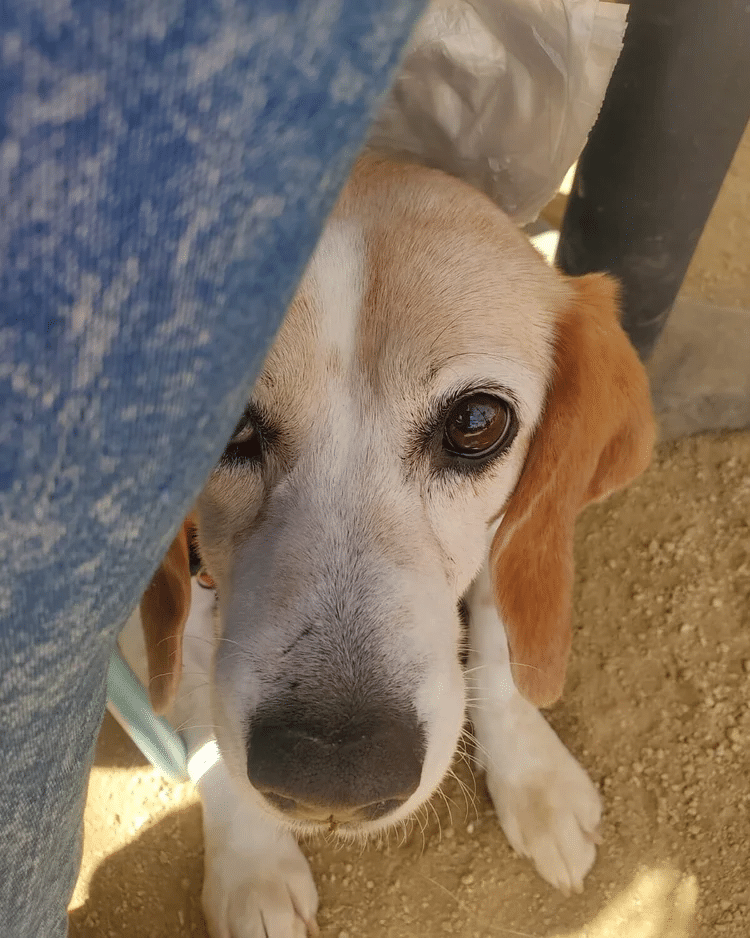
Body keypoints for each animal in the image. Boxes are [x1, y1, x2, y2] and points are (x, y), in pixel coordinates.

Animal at [119, 153, 655, 938]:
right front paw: (253, 871)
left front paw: (531, 777)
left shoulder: (501, 540)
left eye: (476, 421)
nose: (332, 782)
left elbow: (498, 648)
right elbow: (201, 728)